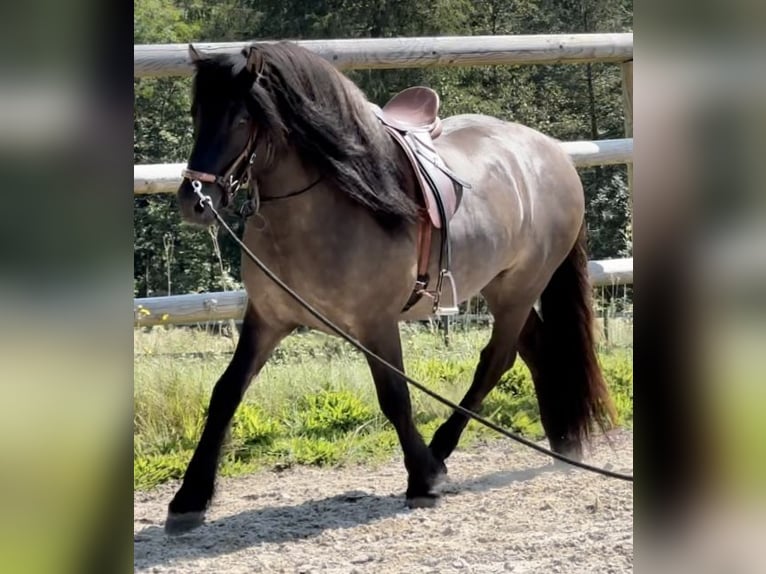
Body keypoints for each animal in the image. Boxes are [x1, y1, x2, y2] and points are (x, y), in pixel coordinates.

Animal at [168, 40, 616, 536]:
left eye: (241, 120)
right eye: (197, 112)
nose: (193, 200)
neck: (325, 205)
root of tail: (552, 153)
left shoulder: (376, 324)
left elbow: (394, 397)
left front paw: (423, 479)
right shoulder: (267, 319)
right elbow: (226, 392)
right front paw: (189, 498)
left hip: (522, 285)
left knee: (495, 361)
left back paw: (441, 452)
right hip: (499, 287)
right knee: (535, 348)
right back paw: (561, 441)